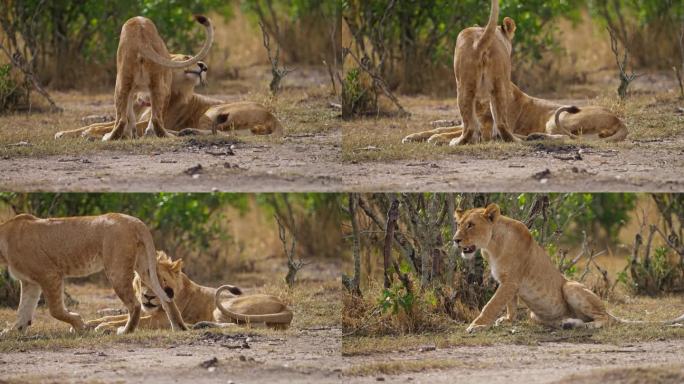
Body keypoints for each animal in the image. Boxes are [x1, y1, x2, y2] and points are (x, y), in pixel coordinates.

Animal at [0, 214, 187, 334]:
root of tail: (135, 221)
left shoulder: (50, 274)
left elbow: (55, 310)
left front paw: (79, 325)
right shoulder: (30, 282)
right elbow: (24, 308)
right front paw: (14, 331)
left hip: (116, 270)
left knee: (135, 304)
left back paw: (125, 331)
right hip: (145, 267)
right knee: (165, 297)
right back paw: (179, 327)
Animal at [85, 252, 292, 330]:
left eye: (162, 281)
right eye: (142, 281)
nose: (148, 296)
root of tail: (286, 306)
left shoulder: (161, 319)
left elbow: (128, 321)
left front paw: (105, 327)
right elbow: (113, 316)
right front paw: (90, 323)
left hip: (225, 305)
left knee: (245, 325)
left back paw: (198, 325)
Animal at [103, 14, 211, 142]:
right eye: (186, 57)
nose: (204, 67)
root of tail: (141, 39)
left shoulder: (130, 90)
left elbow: (130, 115)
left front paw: (130, 134)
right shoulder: (167, 88)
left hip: (121, 83)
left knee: (121, 119)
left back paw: (110, 137)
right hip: (161, 85)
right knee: (156, 119)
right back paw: (167, 135)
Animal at [400, 82, 632, 144]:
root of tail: (619, 119)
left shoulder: (485, 129)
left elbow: (447, 133)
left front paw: (438, 139)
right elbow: (438, 128)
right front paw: (412, 136)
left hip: (559, 117)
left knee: (568, 137)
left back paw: (531, 136)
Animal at [452, 0, 516, 145]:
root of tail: (479, 42)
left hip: (462, 85)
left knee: (469, 125)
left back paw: (457, 141)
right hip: (500, 84)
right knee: (501, 122)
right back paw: (513, 139)